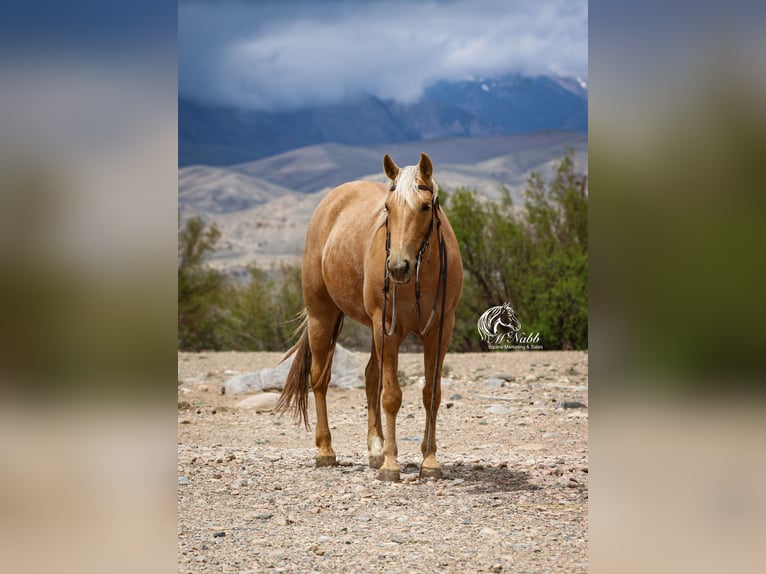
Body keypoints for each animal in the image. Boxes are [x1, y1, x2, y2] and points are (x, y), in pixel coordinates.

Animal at [275, 153, 463, 482]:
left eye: (426, 207)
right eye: (388, 208)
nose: (398, 267)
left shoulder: (439, 331)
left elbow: (431, 393)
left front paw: (429, 460)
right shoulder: (388, 329)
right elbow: (392, 396)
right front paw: (391, 465)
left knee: (369, 377)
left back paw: (375, 448)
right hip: (324, 316)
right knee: (320, 378)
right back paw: (326, 451)